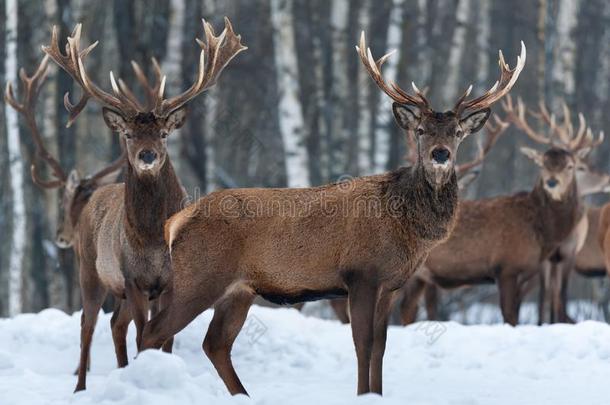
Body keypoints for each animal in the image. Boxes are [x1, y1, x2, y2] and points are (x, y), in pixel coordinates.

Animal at [39, 19, 245, 392]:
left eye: (164, 133)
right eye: (128, 134)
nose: (147, 156)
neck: (152, 239)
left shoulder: (171, 282)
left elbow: (164, 338)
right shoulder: (134, 279)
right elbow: (141, 335)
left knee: (114, 325)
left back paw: (121, 372)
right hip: (89, 271)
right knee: (88, 325)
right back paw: (80, 387)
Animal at [141, 33, 524, 396]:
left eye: (457, 132)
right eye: (420, 130)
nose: (440, 153)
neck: (407, 230)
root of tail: (175, 221)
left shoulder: (391, 285)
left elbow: (381, 346)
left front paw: (377, 393)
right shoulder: (361, 274)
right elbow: (362, 343)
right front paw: (363, 394)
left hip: (238, 290)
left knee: (215, 343)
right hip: (200, 276)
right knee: (154, 331)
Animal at [400, 94, 604, 326]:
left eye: (571, 166)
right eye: (543, 164)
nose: (552, 183)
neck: (540, 232)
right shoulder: (506, 267)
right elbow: (510, 316)